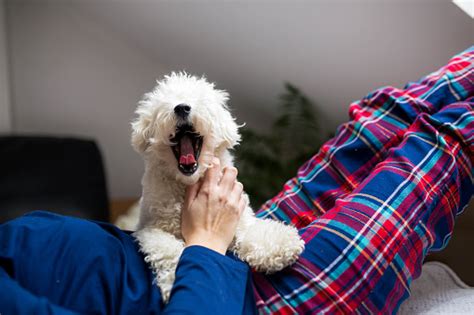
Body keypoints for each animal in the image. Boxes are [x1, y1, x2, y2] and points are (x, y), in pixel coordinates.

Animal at [131, 73, 306, 302]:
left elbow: (249, 231)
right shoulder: (150, 230)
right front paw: (174, 279)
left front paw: (280, 244)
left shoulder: (237, 216)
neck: (188, 183)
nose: (182, 107)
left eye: (201, 100)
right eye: (163, 103)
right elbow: (170, 251)